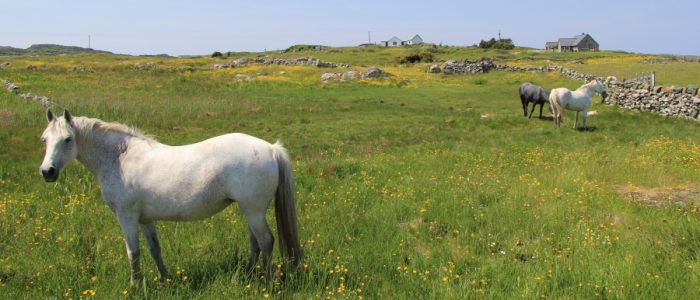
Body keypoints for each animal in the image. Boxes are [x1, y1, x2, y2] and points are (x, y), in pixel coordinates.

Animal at [38, 109, 300, 286]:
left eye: (68, 139)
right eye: (45, 139)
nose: (47, 172)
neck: (120, 158)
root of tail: (271, 149)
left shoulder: (127, 216)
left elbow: (133, 253)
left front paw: (135, 287)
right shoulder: (145, 219)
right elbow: (154, 249)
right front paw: (165, 279)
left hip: (253, 210)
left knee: (266, 242)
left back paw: (265, 281)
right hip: (250, 211)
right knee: (255, 243)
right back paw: (245, 275)